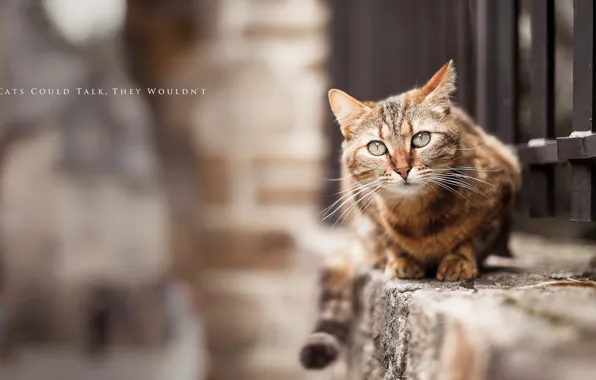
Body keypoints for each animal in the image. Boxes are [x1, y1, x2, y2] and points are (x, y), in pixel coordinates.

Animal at [300, 61, 520, 368]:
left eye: (421, 138)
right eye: (376, 147)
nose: (403, 169)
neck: (416, 216)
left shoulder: (502, 189)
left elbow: (472, 236)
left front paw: (458, 259)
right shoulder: (363, 206)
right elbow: (388, 238)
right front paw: (400, 258)